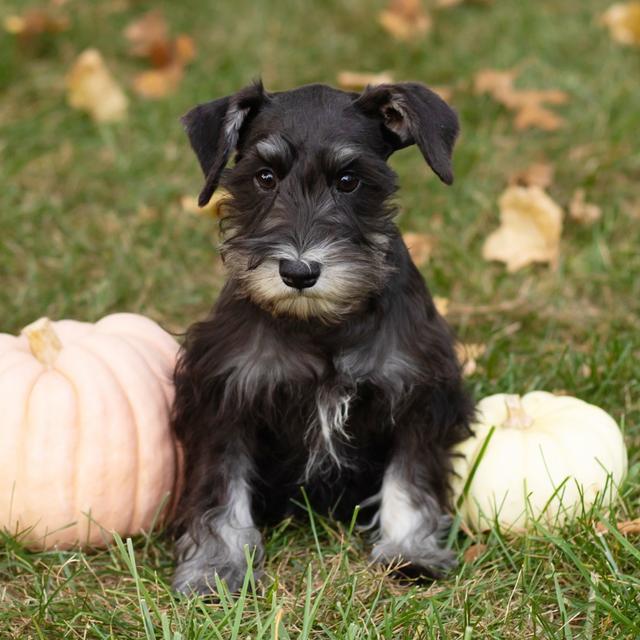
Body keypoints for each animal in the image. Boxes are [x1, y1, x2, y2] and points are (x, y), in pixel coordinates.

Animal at [172, 80, 472, 596]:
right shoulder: (223, 397)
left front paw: (409, 552)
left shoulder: (419, 393)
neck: (321, 323)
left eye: (348, 180)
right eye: (265, 177)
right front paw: (215, 568)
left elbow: (410, 479)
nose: (299, 272)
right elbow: (220, 489)